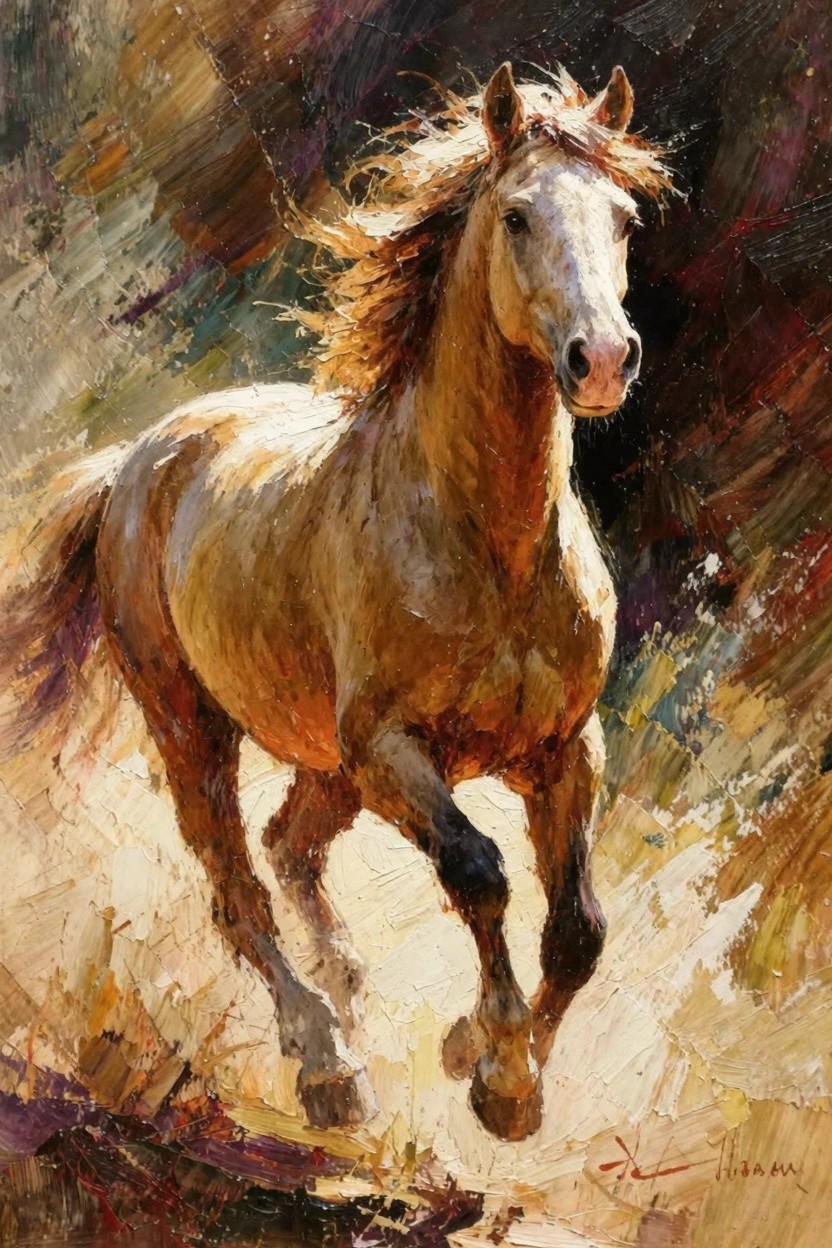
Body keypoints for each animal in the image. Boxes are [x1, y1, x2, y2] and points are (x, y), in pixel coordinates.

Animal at [1, 63, 671, 1141]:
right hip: (193, 727)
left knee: (289, 848)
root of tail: (139, 461)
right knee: (238, 891)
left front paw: (489, 1063)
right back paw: (328, 1067)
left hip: (325, 762)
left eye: (622, 219)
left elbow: (579, 929)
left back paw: (352, 994)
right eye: (518, 216)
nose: (601, 360)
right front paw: (497, 1068)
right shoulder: (393, 748)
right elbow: (479, 872)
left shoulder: (564, 747)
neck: (486, 547)